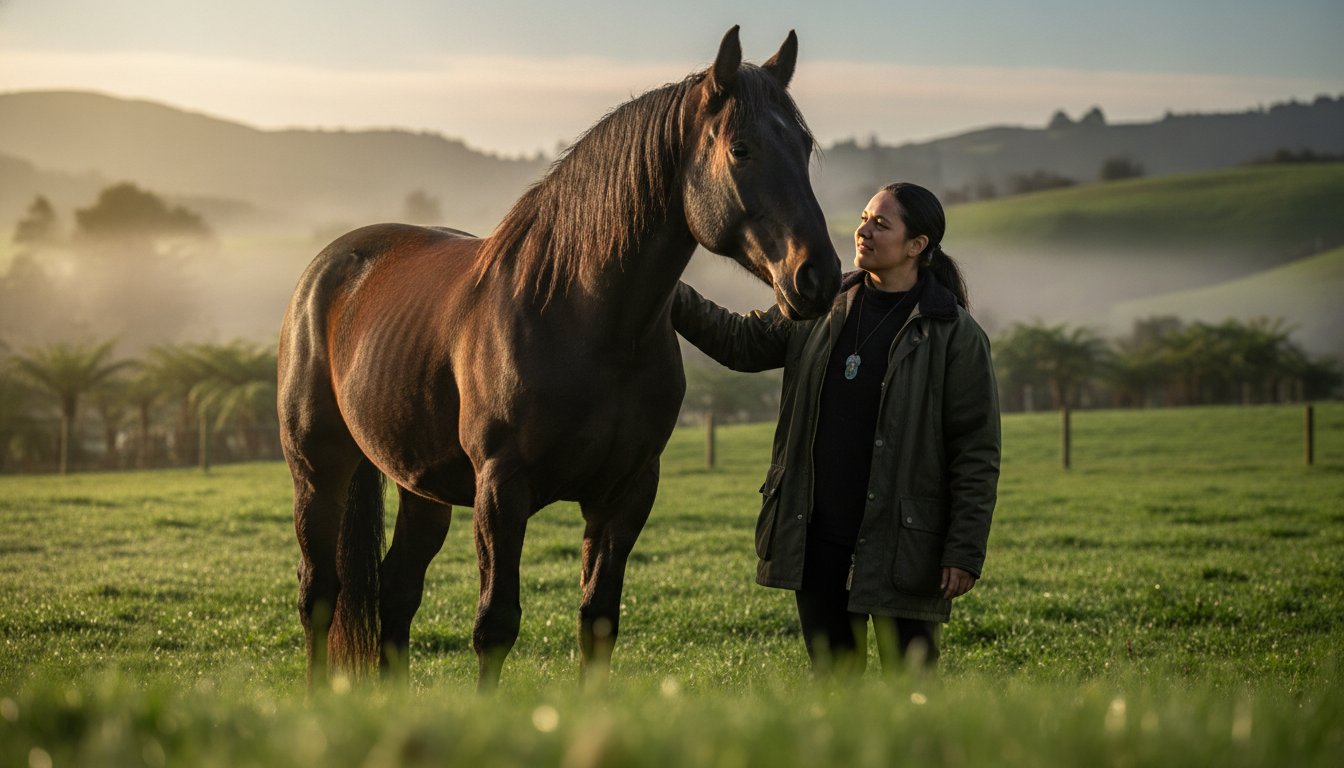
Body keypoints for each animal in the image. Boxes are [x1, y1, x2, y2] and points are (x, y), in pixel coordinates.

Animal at [277, 26, 840, 690]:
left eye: (803, 147)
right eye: (741, 149)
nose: (818, 275)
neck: (584, 319)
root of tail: (330, 266)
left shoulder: (625, 493)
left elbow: (598, 621)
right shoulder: (502, 489)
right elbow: (495, 624)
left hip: (422, 487)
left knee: (396, 588)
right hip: (318, 470)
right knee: (320, 592)